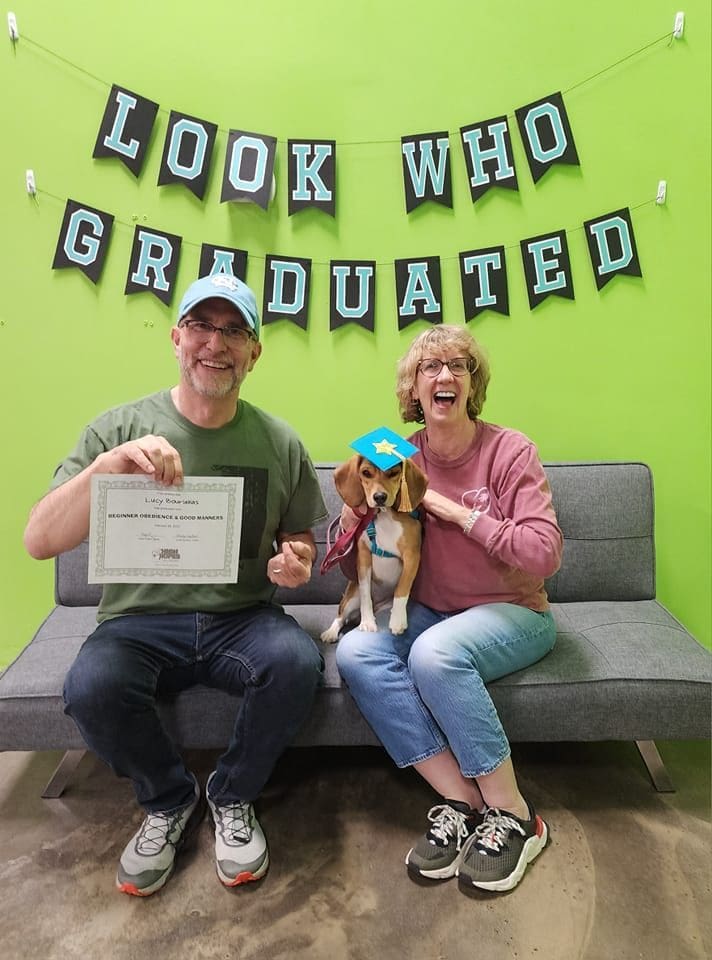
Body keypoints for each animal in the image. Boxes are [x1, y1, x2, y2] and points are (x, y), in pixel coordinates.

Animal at [322, 454, 428, 640]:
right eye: (366, 473)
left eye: (393, 473)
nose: (379, 497)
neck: (385, 515)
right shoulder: (363, 556)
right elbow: (366, 594)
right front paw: (367, 622)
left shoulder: (412, 556)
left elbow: (402, 589)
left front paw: (398, 620)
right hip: (351, 596)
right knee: (341, 616)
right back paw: (331, 632)